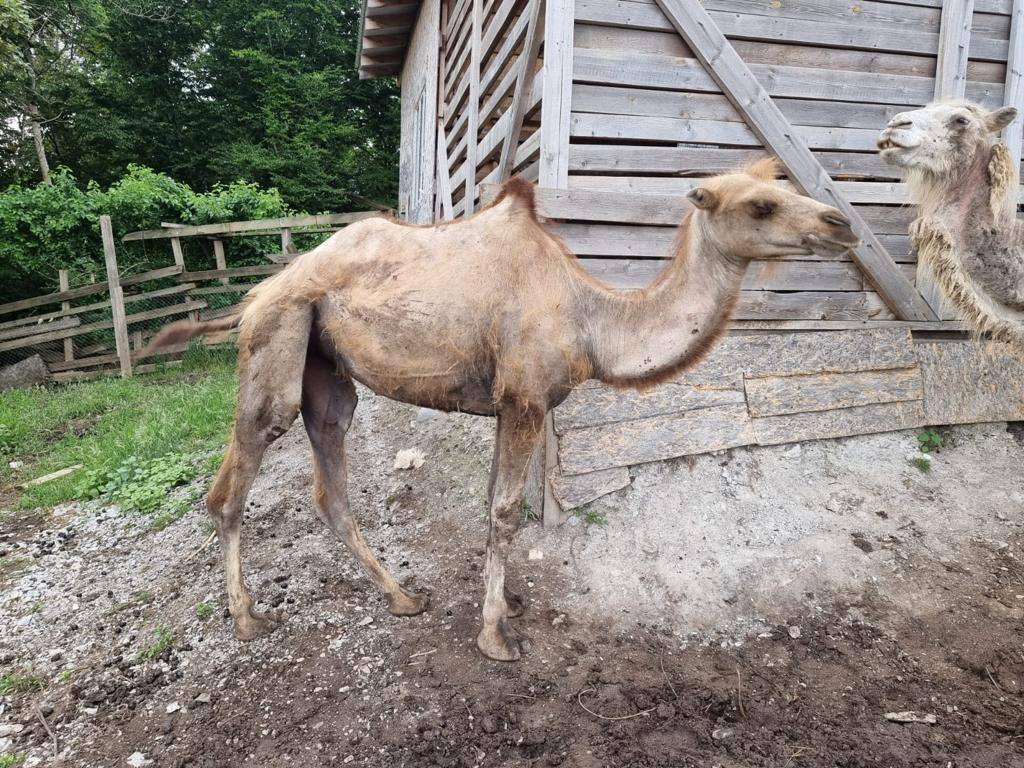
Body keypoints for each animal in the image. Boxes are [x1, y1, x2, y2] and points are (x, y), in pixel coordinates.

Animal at [148, 162, 860, 663]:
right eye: (761, 204)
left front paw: (507, 602)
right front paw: (496, 636)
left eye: (780, 187)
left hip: (327, 372)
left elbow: (491, 501)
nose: (841, 224)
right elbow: (505, 511)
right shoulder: (525, 400)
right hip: (279, 338)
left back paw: (403, 597)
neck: (590, 321)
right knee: (236, 479)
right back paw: (246, 617)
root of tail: (259, 290)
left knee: (331, 483)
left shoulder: (505, 406)